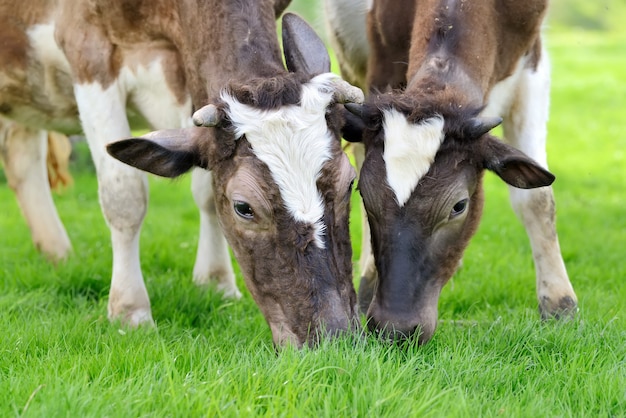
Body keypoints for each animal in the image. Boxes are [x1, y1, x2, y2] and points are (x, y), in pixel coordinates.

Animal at [0, 1, 360, 348]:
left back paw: (56, 254)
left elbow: (205, 192)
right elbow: (125, 197)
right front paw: (130, 309)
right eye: (243, 207)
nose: (335, 335)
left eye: (349, 184)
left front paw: (215, 282)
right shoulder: (88, 51)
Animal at [326, 0, 576, 342]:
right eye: (364, 193)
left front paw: (559, 302)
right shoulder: (380, 65)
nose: (396, 328)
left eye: (459, 206)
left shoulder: (530, 63)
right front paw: (368, 285)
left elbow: (536, 200)